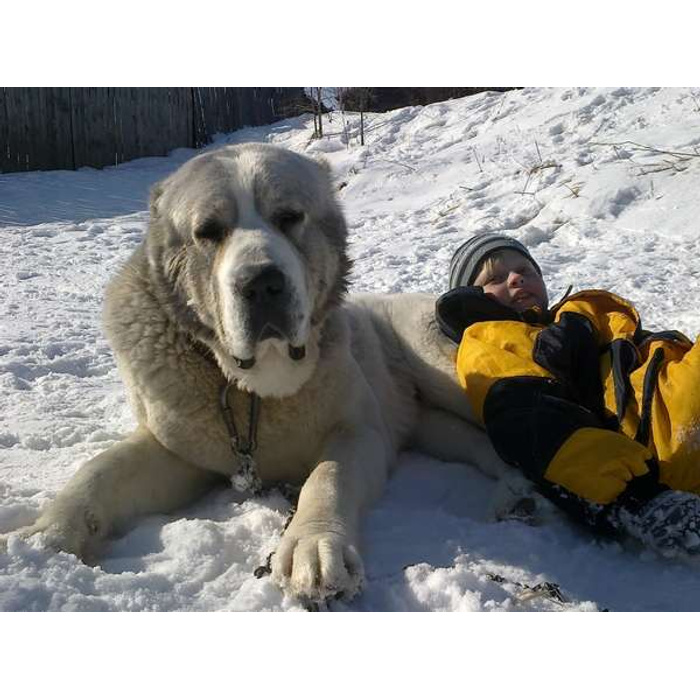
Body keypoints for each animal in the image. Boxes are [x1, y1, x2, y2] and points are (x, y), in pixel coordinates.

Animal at [1, 145, 532, 604]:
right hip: (426, 424)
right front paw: (45, 535)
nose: (260, 282)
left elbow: (328, 477)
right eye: (208, 231)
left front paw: (313, 549)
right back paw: (514, 493)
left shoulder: (357, 431)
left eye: (289, 217)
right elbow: (100, 471)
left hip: (440, 365)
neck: (251, 390)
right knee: (474, 442)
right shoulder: (177, 451)